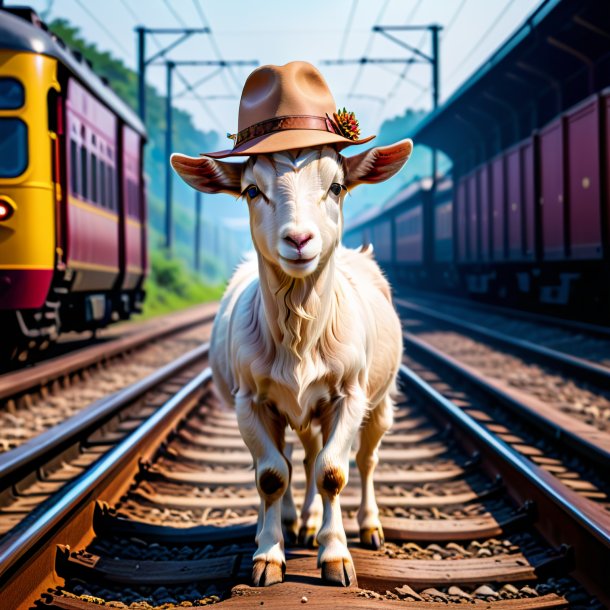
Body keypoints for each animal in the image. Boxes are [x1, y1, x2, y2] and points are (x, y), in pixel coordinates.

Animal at [169, 138, 410, 584]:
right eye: (251, 190)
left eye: (337, 186)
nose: (299, 239)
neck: (300, 337)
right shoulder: (249, 401)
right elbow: (271, 474)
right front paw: (268, 555)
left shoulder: (349, 396)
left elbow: (333, 472)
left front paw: (336, 558)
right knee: (295, 457)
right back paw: (296, 521)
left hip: (379, 398)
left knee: (364, 459)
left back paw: (368, 527)